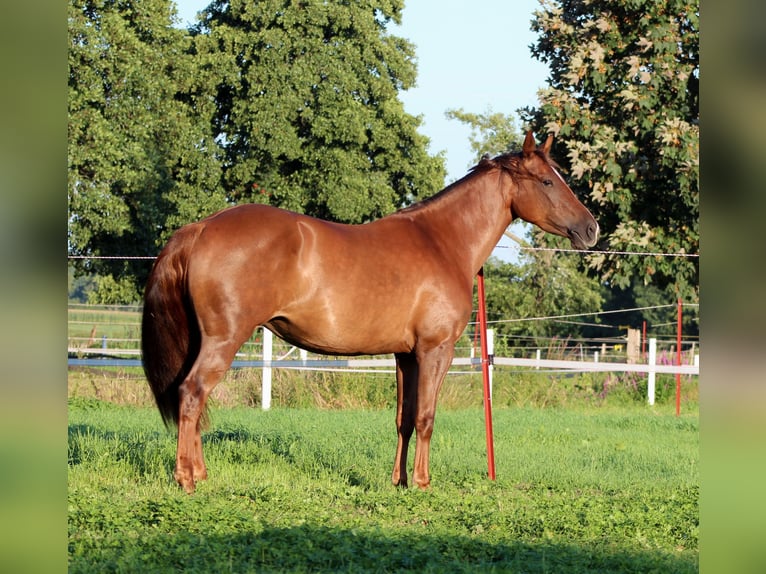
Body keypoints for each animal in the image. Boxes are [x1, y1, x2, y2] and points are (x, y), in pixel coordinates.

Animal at [141, 131, 599, 493]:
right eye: (547, 180)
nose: (590, 228)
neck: (442, 241)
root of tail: (200, 228)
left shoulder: (405, 355)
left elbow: (404, 418)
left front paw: (399, 481)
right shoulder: (435, 350)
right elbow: (427, 416)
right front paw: (422, 483)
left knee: (192, 399)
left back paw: (199, 473)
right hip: (224, 340)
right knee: (192, 393)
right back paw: (186, 479)